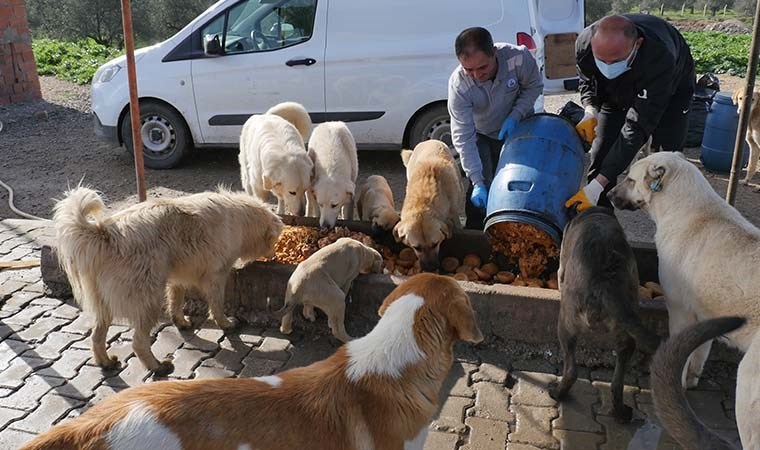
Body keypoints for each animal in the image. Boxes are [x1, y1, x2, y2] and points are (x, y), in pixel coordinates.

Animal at [53, 186, 284, 376]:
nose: (274, 254)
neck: (242, 218)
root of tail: (105, 233)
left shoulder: (177, 278)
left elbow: (176, 301)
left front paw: (181, 322)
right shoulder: (216, 276)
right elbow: (217, 305)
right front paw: (226, 324)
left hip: (105, 304)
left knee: (96, 336)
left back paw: (106, 362)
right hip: (148, 299)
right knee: (138, 343)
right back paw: (157, 366)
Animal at [548, 207, 664, 422]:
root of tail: (606, 280)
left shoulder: (561, 265)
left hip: (565, 324)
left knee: (571, 370)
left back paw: (558, 392)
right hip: (626, 332)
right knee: (617, 382)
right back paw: (621, 412)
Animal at [608, 153, 760, 448]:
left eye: (630, 179)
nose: (608, 194)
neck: (686, 209)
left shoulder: (679, 312)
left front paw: (677, 384)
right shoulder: (707, 315)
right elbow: (700, 350)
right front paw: (691, 380)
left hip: (749, 387)